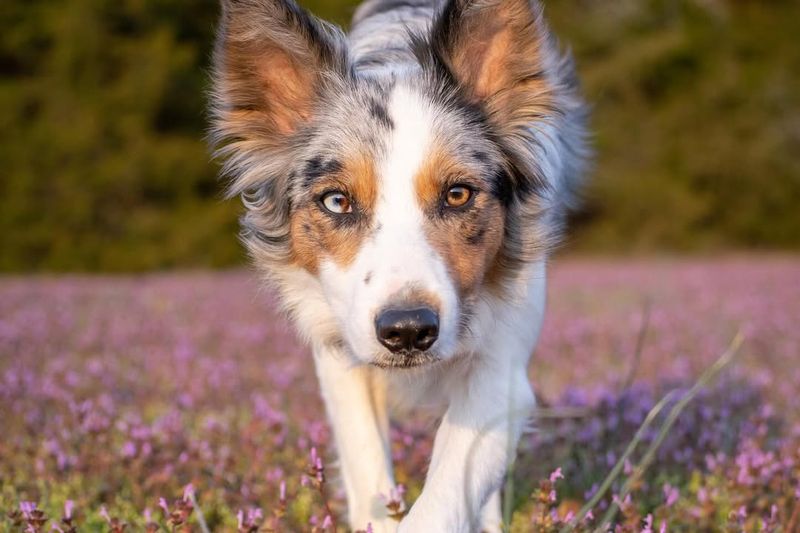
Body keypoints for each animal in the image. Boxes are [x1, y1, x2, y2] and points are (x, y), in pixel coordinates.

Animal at [211, 1, 588, 528]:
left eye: (457, 194)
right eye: (337, 201)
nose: (408, 331)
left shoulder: (501, 370)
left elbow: (446, 494)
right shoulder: (341, 356)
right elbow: (368, 467)